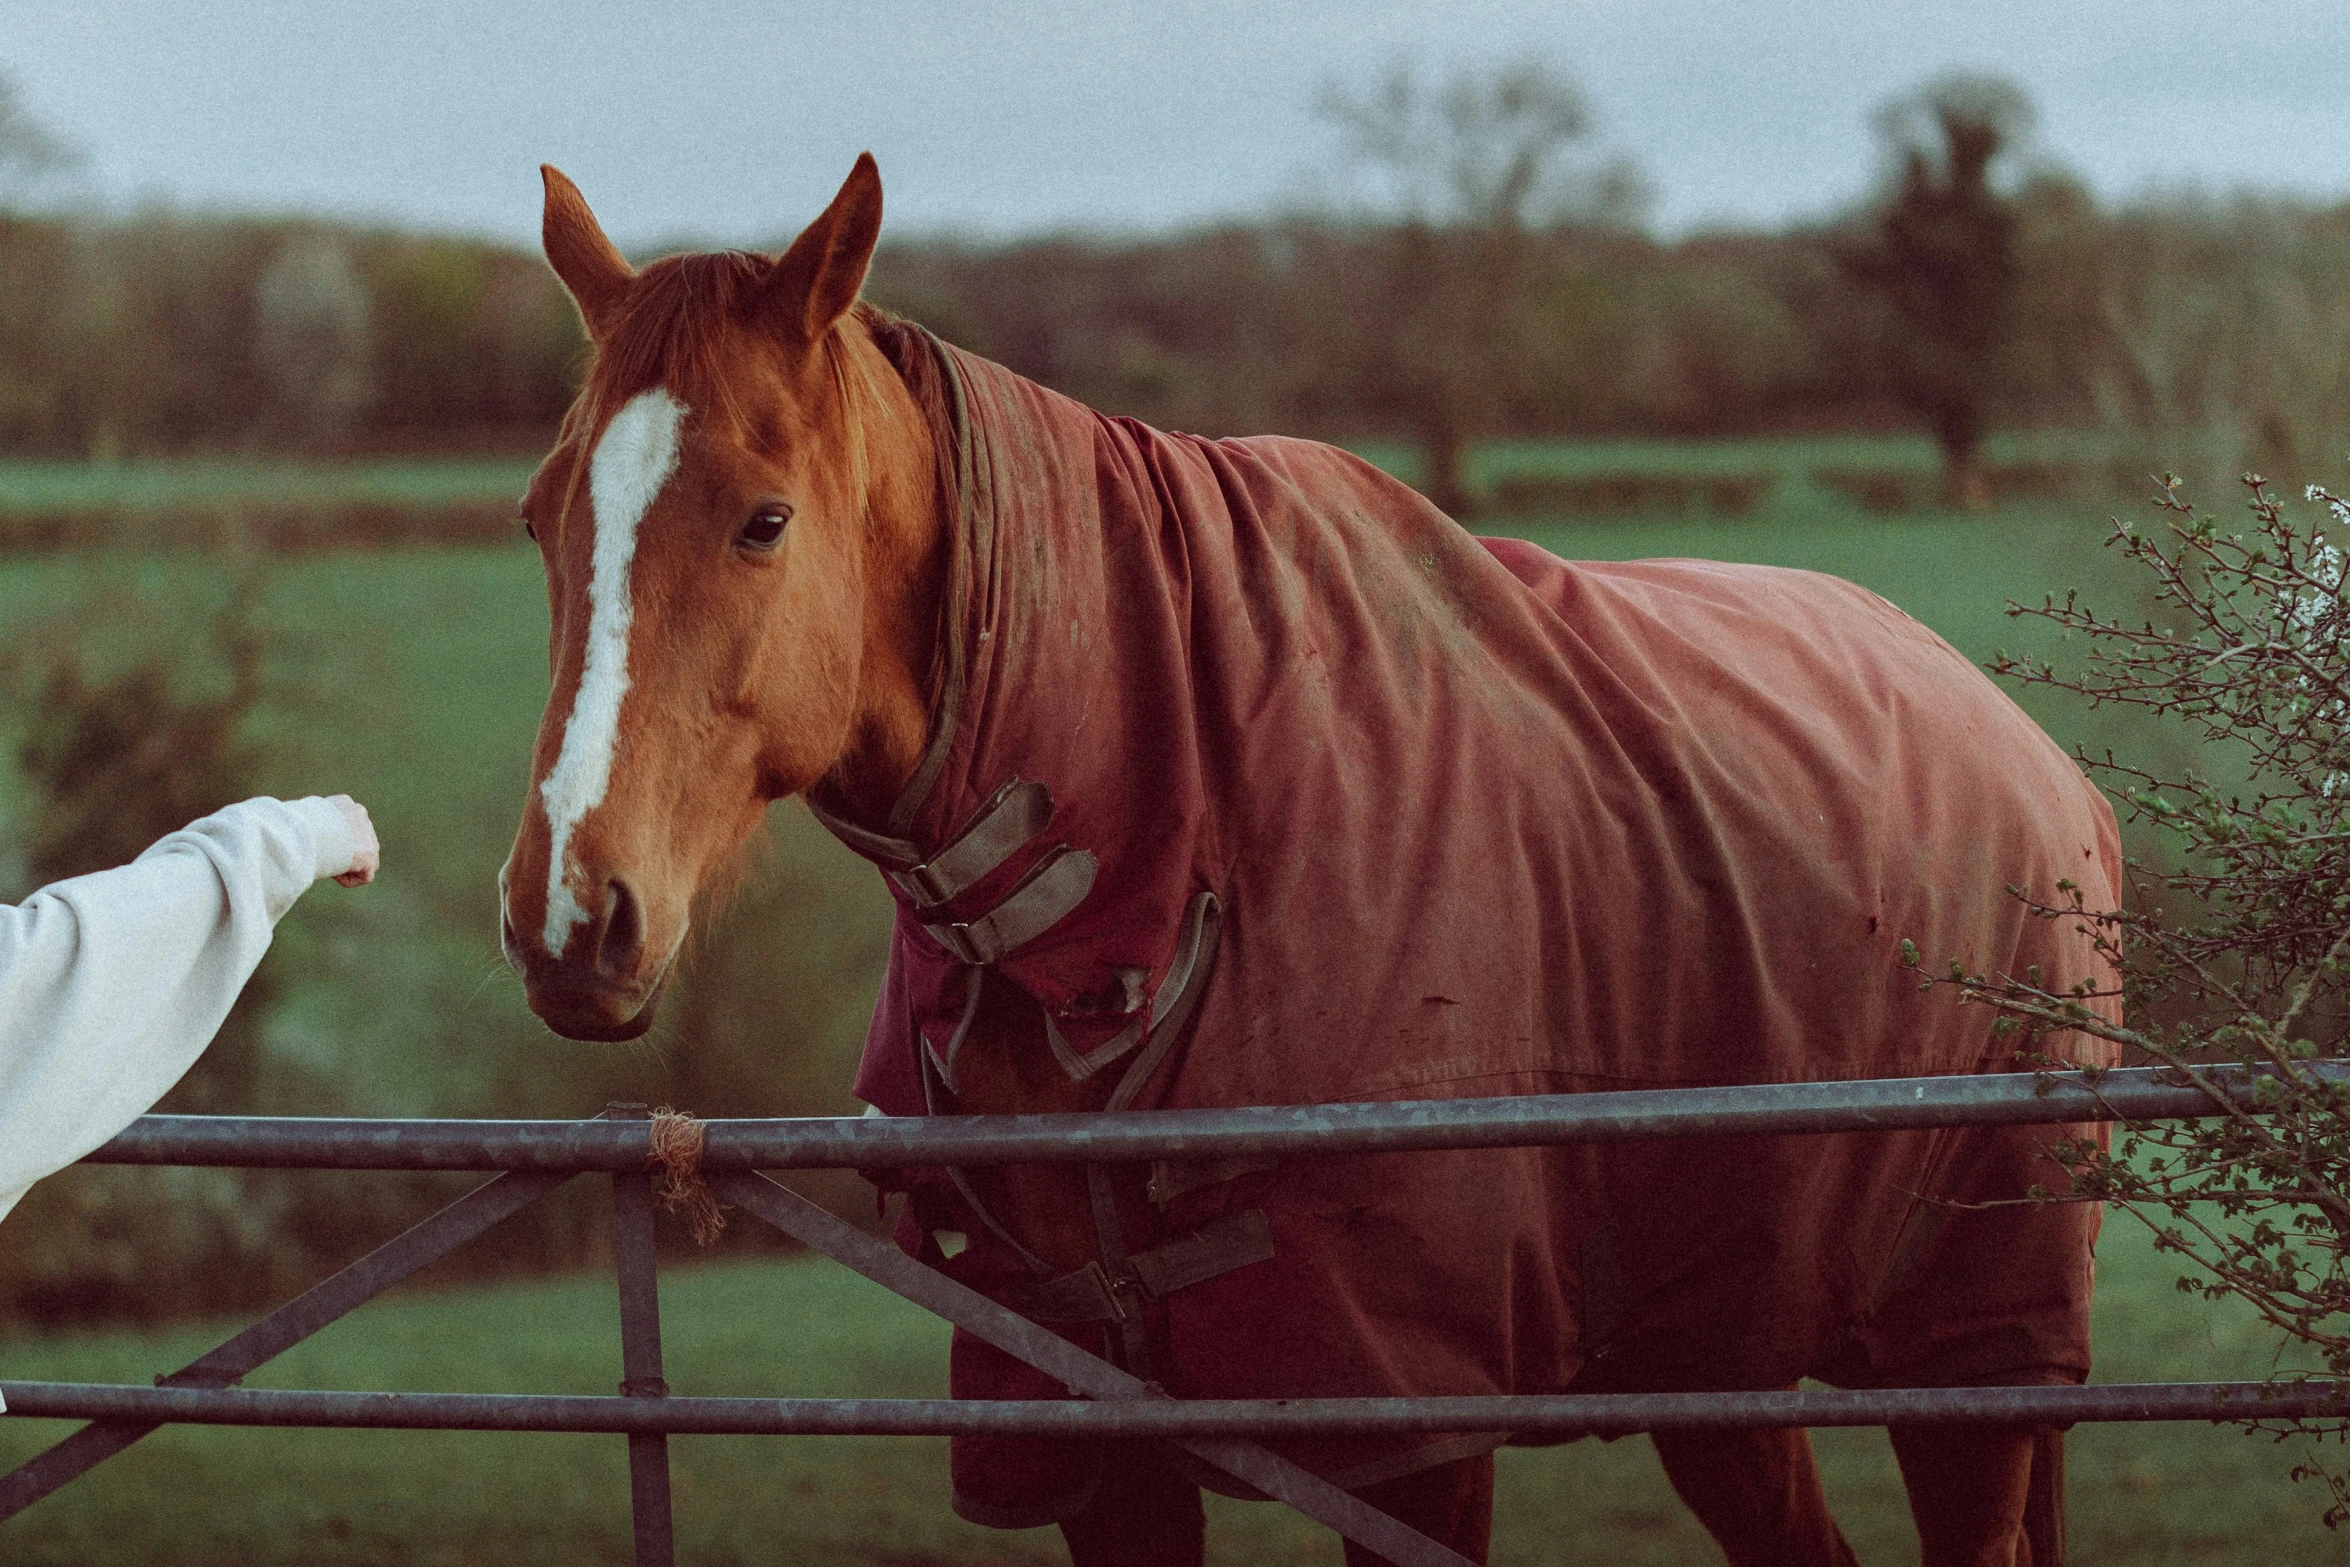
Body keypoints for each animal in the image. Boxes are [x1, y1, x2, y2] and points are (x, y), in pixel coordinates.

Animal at [505, 150, 2124, 1567]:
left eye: (764, 519)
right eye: (539, 515)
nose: (569, 915)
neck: (1161, 846)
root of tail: (2019, 738)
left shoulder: (1407, 1425)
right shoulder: (1082, 1424)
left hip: (1971, 1350)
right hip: (1712, 1346)